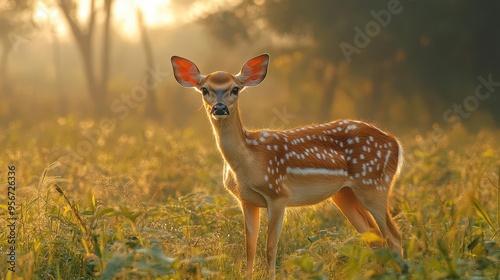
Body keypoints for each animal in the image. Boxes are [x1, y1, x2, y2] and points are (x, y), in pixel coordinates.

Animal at [170, 53, 404, 278]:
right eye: (204, 89)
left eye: (235, 89)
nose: (219, 108)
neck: (246, 161)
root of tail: (396, 143)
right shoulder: (246, 200)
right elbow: (249, 248)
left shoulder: (277, 194)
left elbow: (270, 249)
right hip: (345, 194)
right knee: (376, 238)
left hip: (374, 184)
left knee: (393, 235)